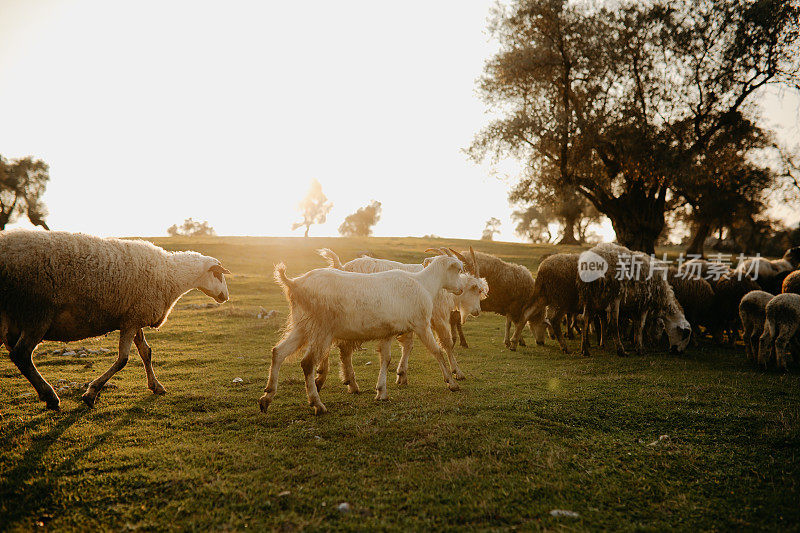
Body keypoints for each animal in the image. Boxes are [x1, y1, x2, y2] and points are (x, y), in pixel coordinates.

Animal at [0, 231, 231, 410]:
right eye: (219, 275)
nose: (226, 297)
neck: (171, 275)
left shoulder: (134, 316)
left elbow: (146, 352)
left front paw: (156, 386)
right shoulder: (132, 320)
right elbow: (123, 360)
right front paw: (91, 393)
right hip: (37, 313)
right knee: (21, 355)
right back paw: (51, 397)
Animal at [260, 255, 466, 416]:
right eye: (458, 270)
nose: (461, 289)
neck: (424, 283)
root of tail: (294, 283)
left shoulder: (388, 332)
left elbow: (386, 359)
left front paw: (381, 392)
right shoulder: (421, 324)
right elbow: (437, 351)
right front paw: (452, 382)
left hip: (301, 325)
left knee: (278, 352)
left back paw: (267, 397)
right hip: (321, 328)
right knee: (307, 363)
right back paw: (317, 404)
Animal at [314, 245, 488, 386]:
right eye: (475, 288)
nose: (477, 311)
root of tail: (341, 266)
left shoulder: (410, 319)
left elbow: (407, 344)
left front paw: (401, 374)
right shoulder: (436, 317)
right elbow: (446, 343)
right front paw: (457, 372)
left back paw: (323, 374)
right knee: (343, 348)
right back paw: (343, 380)